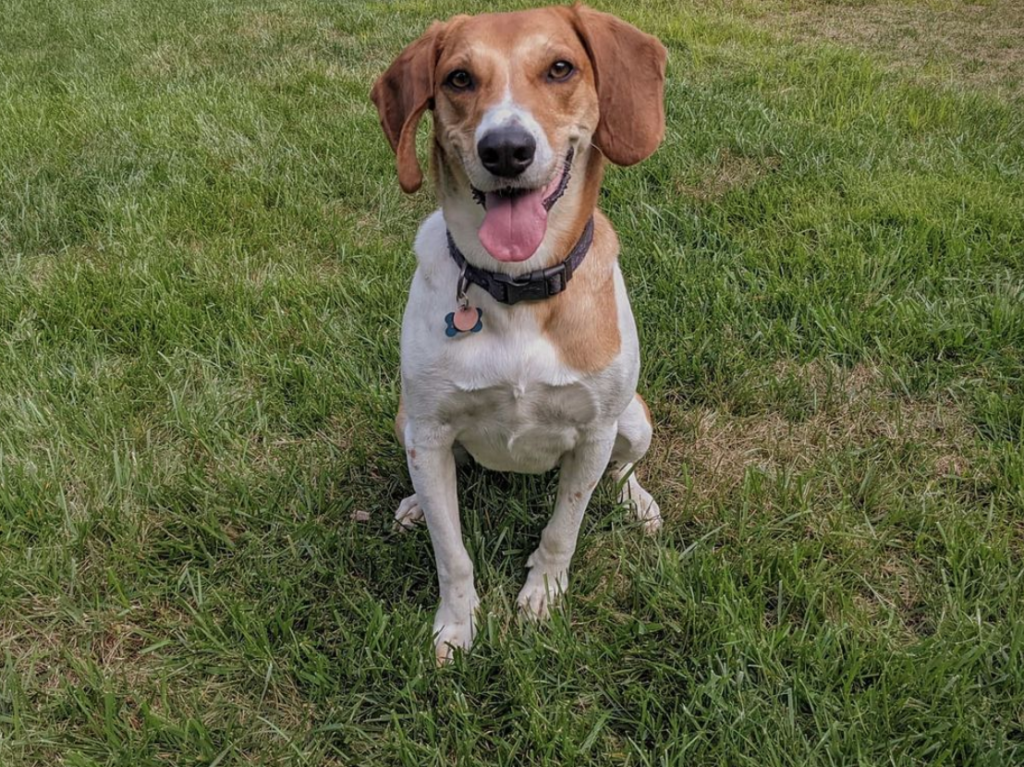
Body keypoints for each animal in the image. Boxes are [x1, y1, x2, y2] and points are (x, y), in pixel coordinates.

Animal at [372, 2, 667, 659]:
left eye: (560, 68)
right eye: (458, 78)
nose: (506, 149)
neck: (518, 287)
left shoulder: (596, 431)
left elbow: (564, 529)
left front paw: (542, 596)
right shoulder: (429, 431)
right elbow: (451, 552)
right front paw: (457, 625)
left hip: (634, 419)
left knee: (624, 469)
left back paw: (637, 503)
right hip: (406, 423)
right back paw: (412, 504)